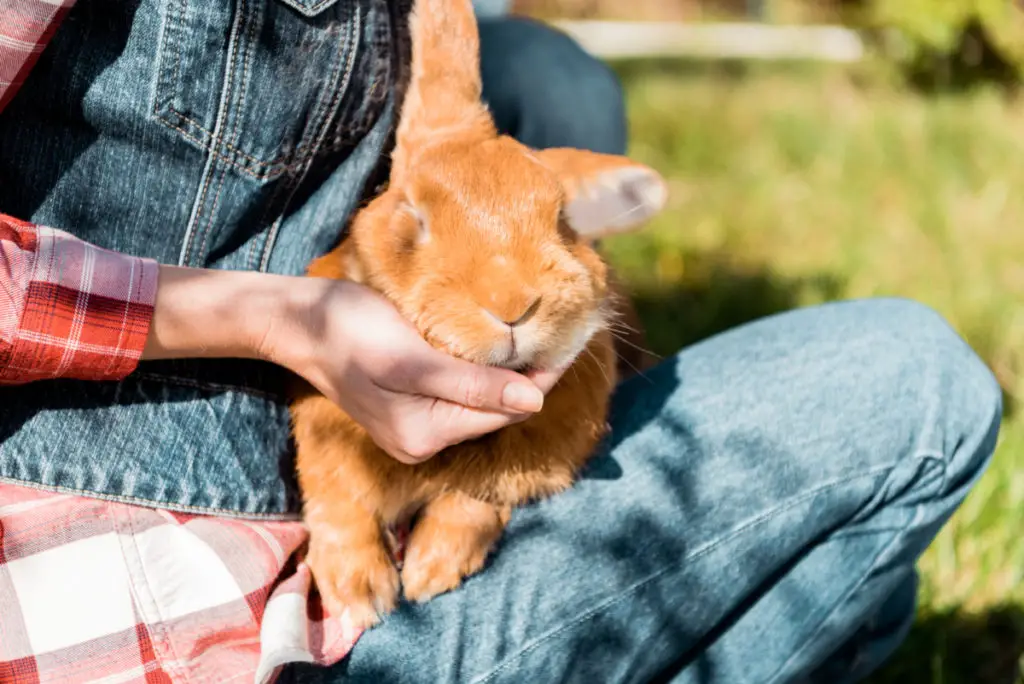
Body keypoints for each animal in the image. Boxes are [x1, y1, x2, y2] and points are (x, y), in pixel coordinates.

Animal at [290, 0, 671, 630]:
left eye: (562, 219)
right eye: (412, 218)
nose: (511, 303)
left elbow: (477, 498)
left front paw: (431, 572)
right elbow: (339, 499)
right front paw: (358, 594)